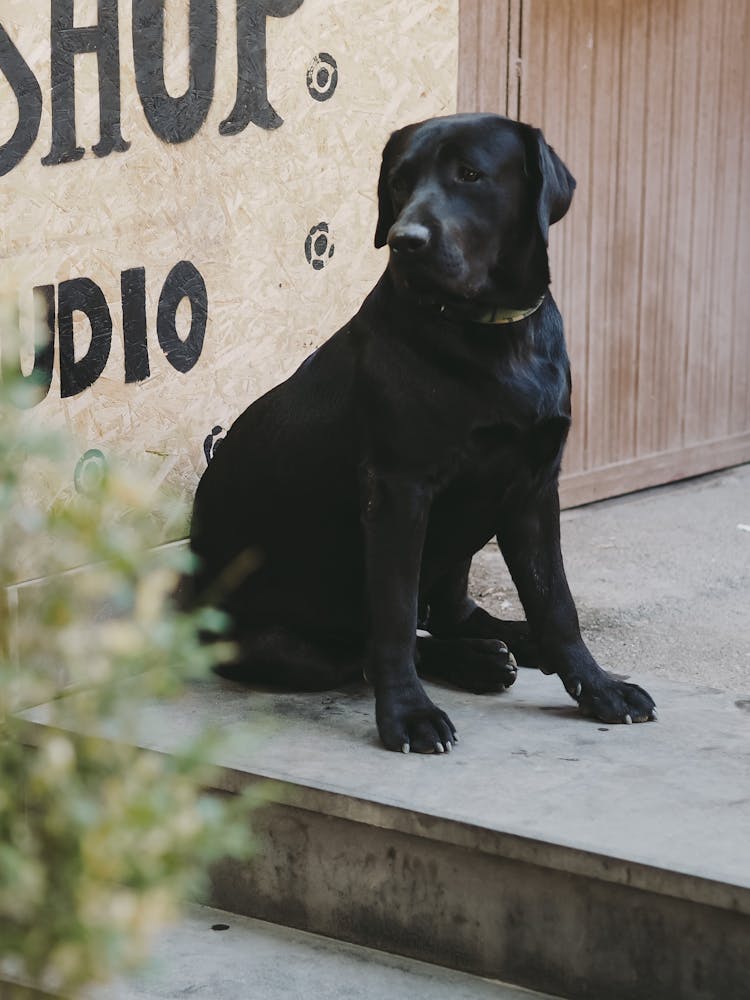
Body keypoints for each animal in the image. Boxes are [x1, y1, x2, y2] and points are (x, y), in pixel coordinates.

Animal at [192, 111, 656, 752]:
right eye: (399, 182)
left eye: (470, 175)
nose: (405, 240)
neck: (493, 334)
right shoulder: (398, 491)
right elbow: (392, 618)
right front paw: (408, 715)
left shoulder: (535, 488)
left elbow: (557, 603)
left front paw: (599, 686)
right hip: (281, 643)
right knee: (377, 645)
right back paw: (480, 659)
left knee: (451, 614)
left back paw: (510, 645)